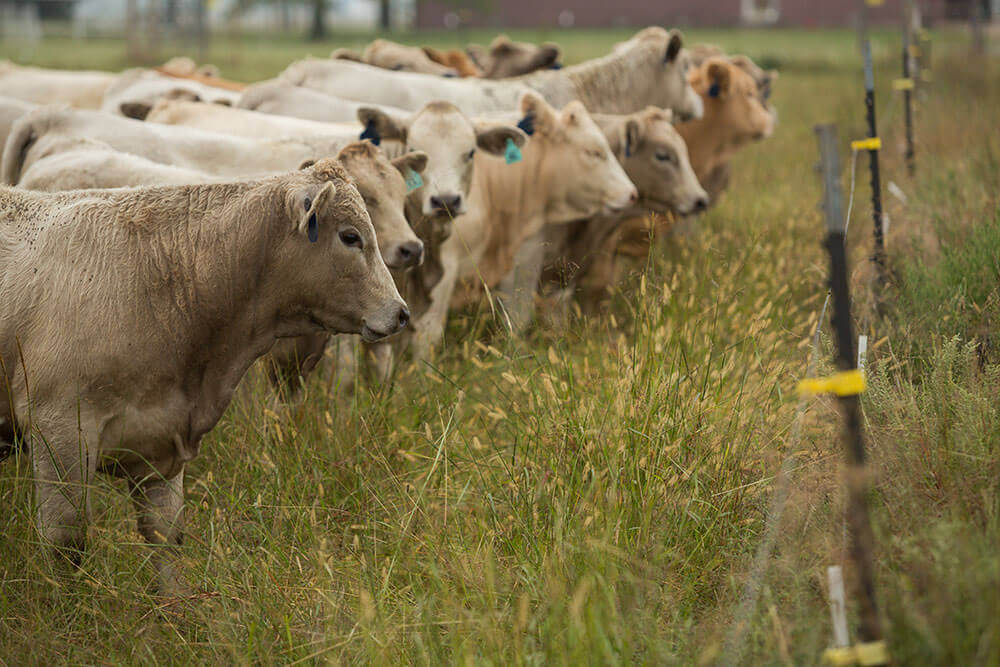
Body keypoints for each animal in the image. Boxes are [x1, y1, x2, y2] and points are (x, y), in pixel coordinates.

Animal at [0, 160, 407, 594]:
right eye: (350, 236)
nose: (401, 313)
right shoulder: (60, 431)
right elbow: (65, 540)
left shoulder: (161, 433)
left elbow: (165, 536)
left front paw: (174, 605)